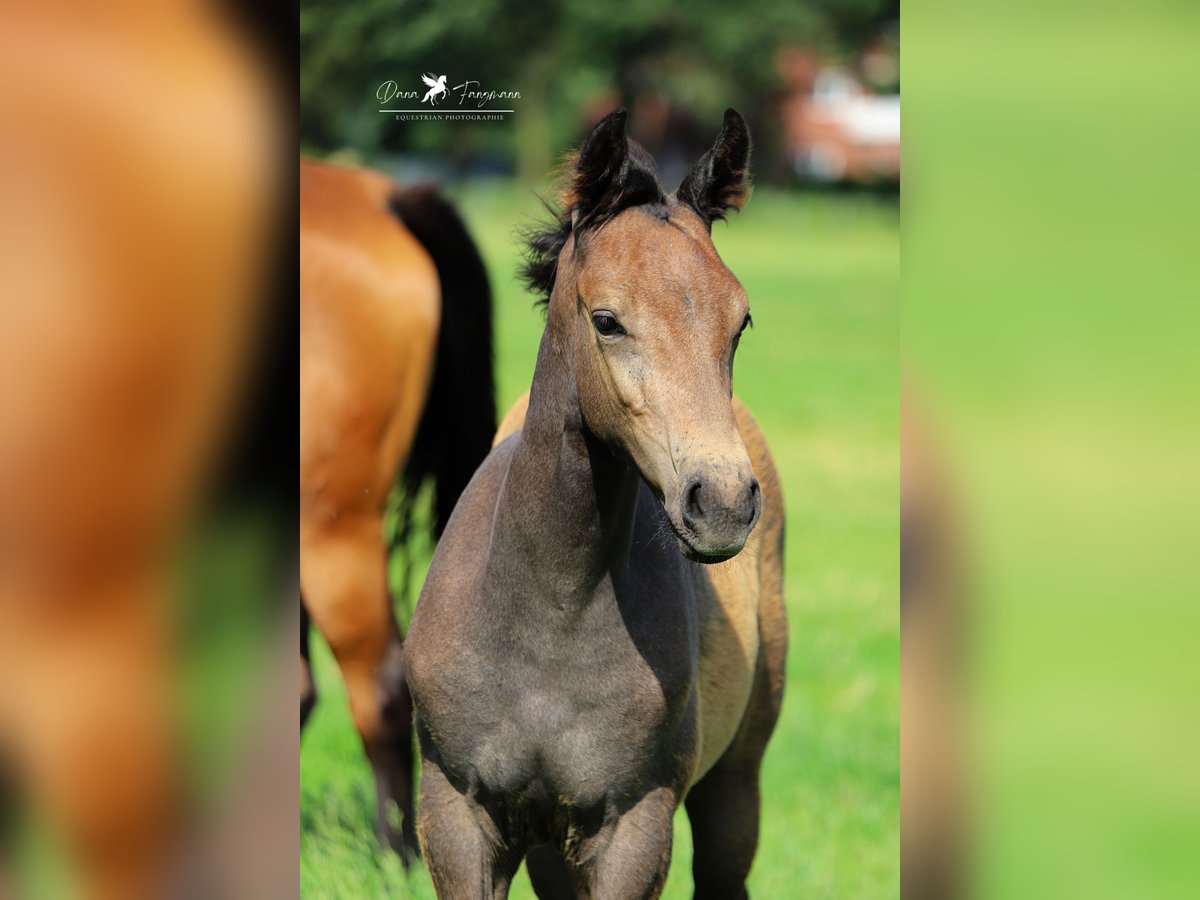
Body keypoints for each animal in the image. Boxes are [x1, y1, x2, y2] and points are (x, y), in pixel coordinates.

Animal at [408, 109, 787, 897]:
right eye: (607, 320)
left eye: (739, 323)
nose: (724, 502)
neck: (551, 612)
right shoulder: (455, 814)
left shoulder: (633, 829)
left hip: (735, 780)